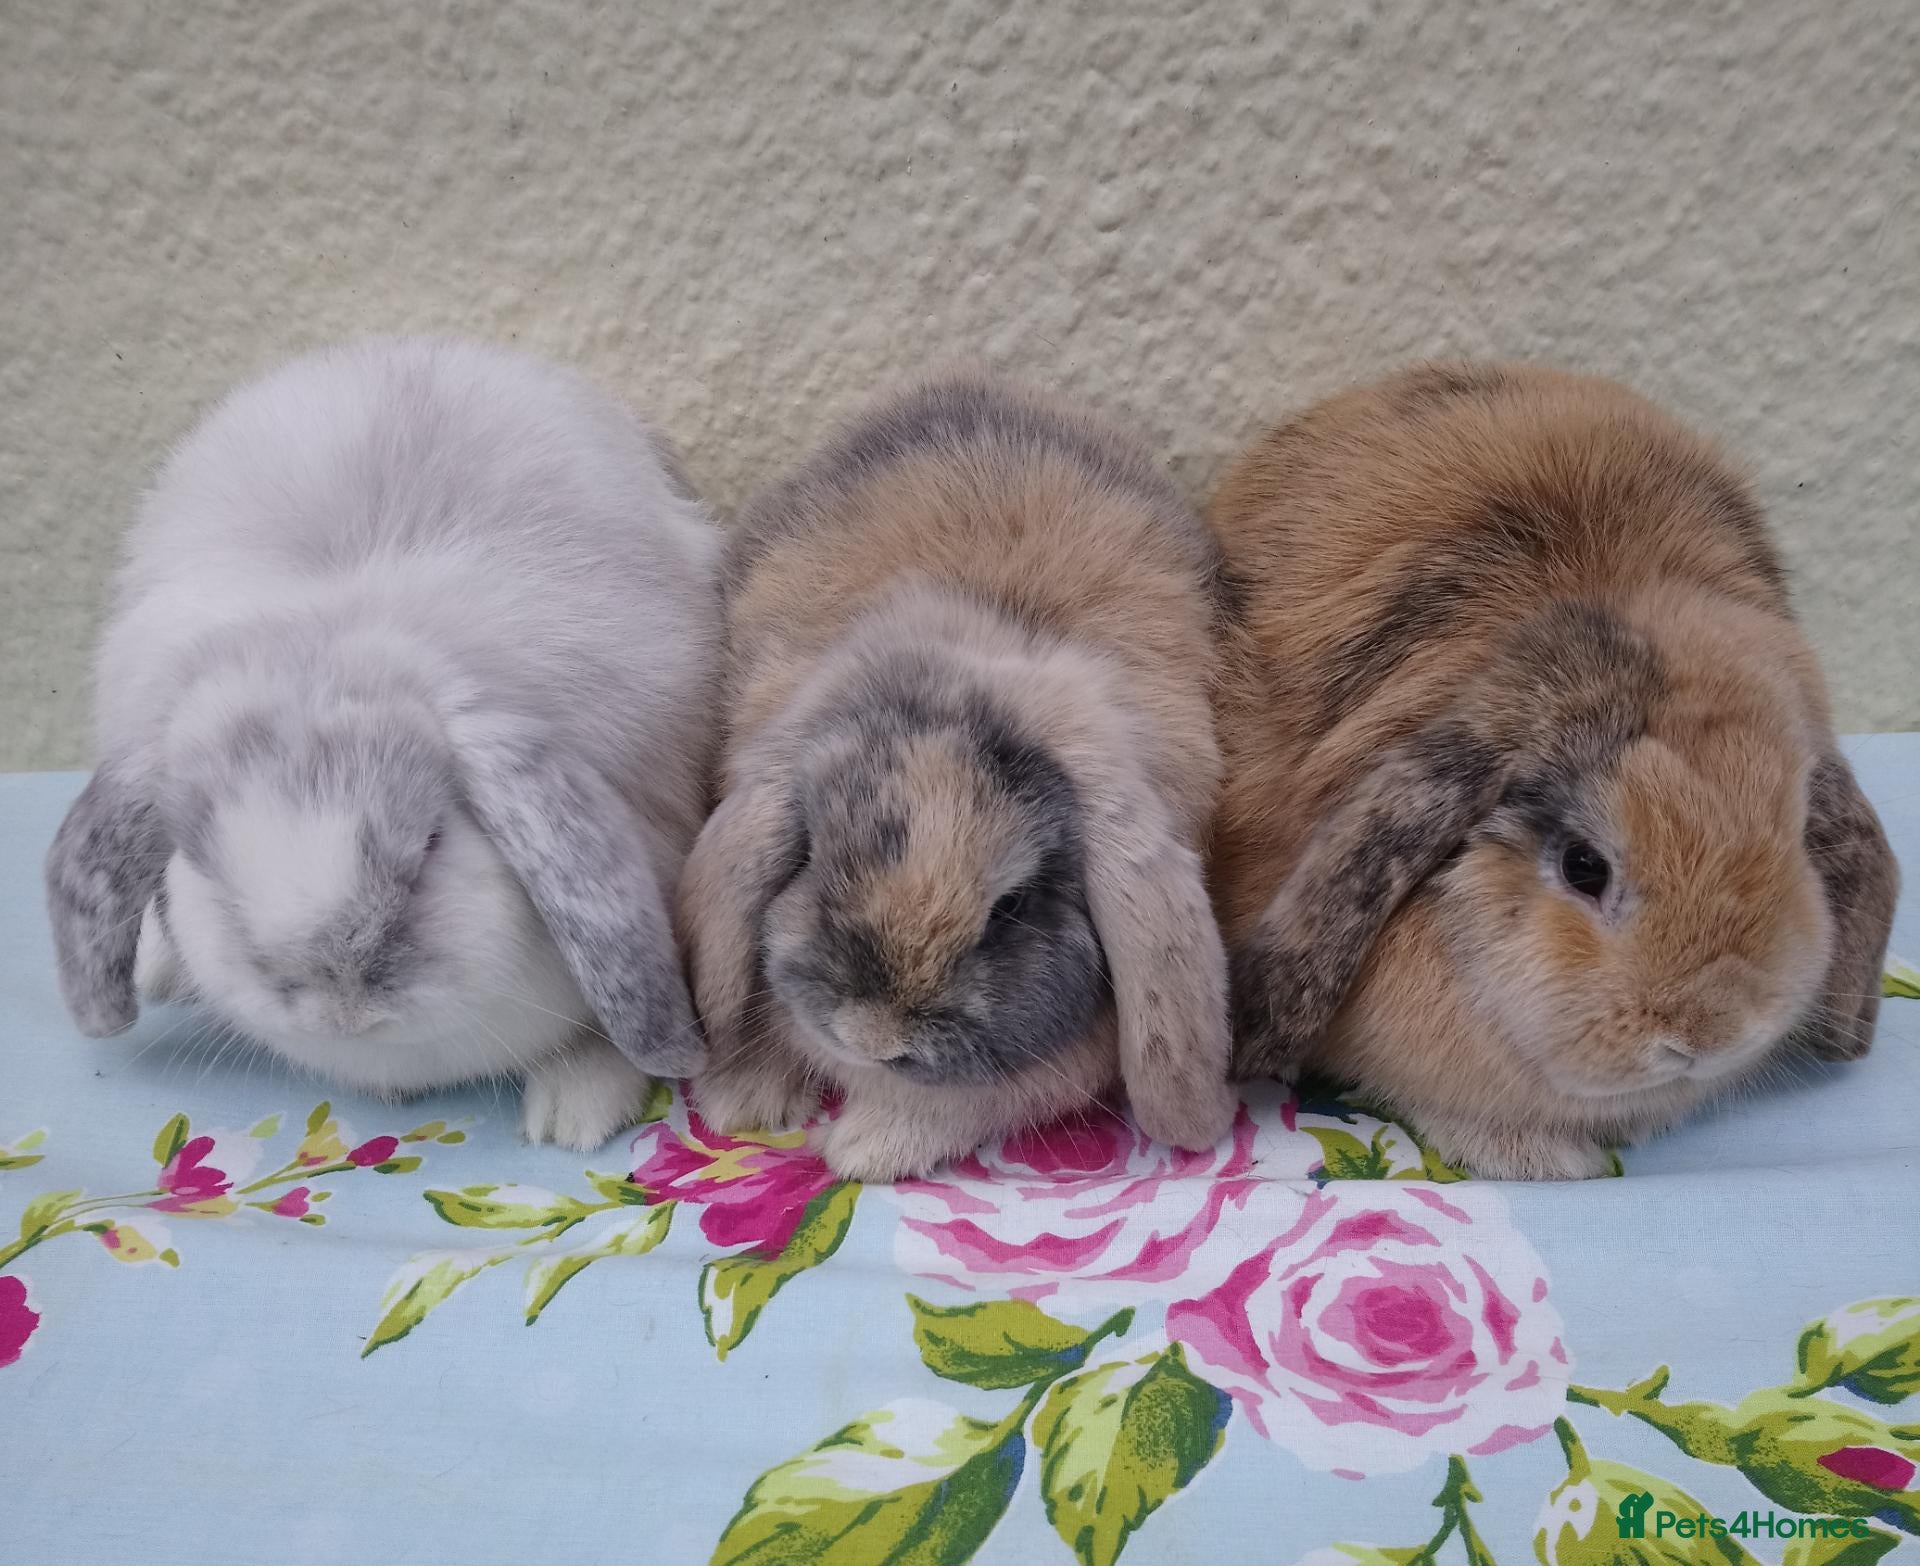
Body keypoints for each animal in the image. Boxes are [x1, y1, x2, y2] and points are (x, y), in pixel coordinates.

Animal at [678, 374, 1239, 1181]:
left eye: (1011, 907)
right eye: (814, 855)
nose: (874, 1036)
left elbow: (951, 1110)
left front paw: (863, 1149)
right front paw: (745, 1104)